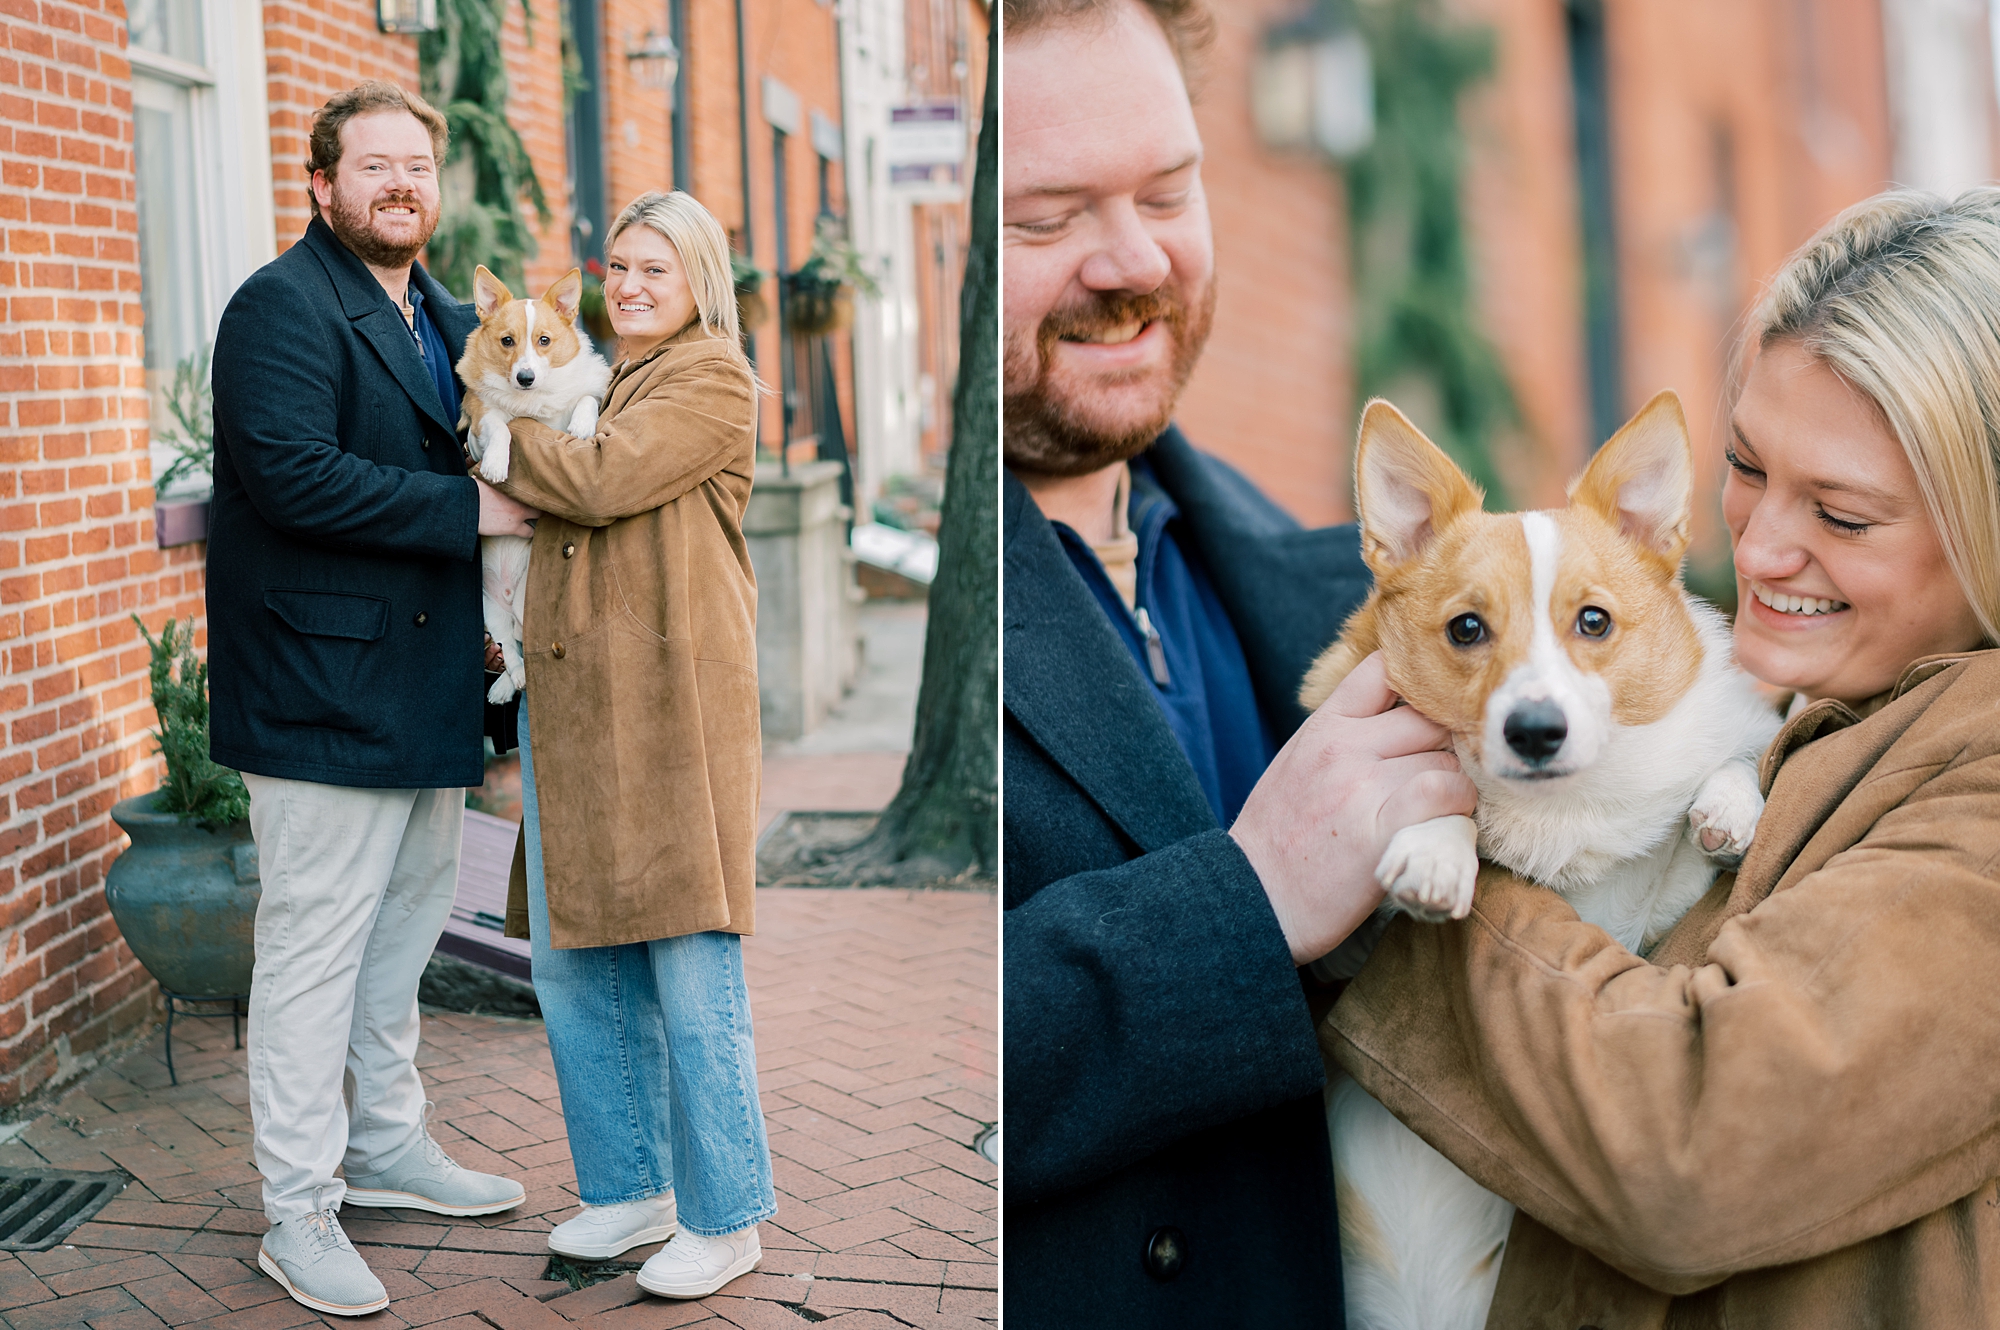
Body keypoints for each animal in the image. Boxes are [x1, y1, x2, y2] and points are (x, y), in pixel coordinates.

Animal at [458, 264, 608, 712]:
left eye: (544, 341)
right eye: (507, 341)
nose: (525, 378)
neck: (531, 401)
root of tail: (510, 601)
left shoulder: (579, 399)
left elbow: (585, 401)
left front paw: (581, 426)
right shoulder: (482, 414)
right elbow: (500, 426)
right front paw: (495, 462)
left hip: (531, 603)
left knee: (522, 643)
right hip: (488, 609)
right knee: (509, 648)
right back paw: (511, 682)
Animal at [1304, 390, 1792, 1320]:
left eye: (1593, 621)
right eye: (1466, 628)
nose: (1535, 731)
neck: (1559, 808)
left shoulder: (1656, 917)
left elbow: (1732, 765)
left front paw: (1727, 807)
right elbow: (1439, 798)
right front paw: (1436, 852)